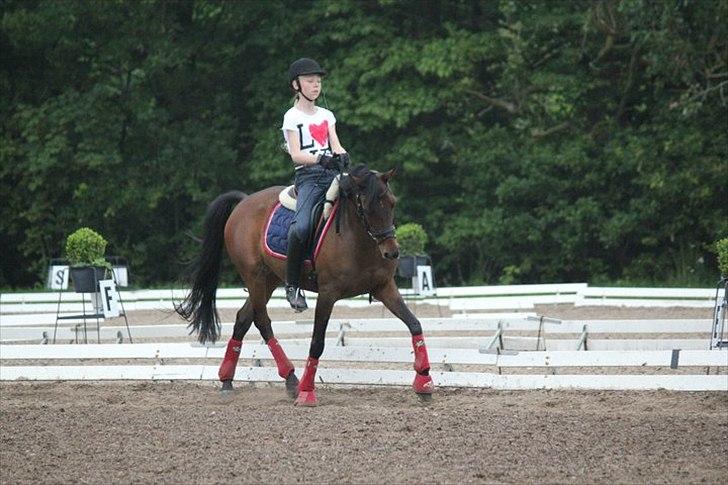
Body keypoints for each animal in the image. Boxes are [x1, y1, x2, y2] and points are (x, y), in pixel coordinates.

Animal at [175, 164, 434, 406]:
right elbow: (317, 342)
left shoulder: (384, 287)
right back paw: (292, 381)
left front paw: (424, 383)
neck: (358, 239)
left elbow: (415, 324)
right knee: (262, 322)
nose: (392, 253)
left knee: (243, 319)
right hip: (255, 277)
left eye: (392, 203)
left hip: (269, 280)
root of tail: (244, 202)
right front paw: (307, 393)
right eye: (367, 207)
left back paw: (228, 382)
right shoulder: (327, 294)